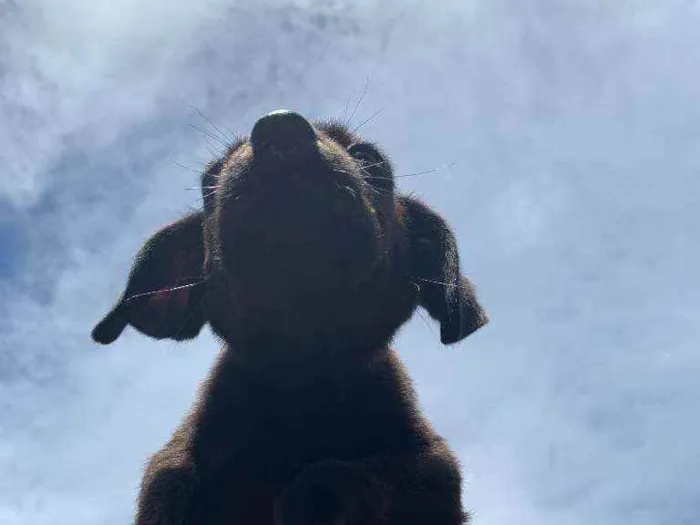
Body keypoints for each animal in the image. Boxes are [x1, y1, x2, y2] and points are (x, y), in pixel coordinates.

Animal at [91, 110, 486, 524]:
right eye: (209, 181)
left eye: (370, 159)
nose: (279, 127)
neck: (301, 382)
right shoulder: (171, 479)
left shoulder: (431, 470)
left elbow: (356, 476)